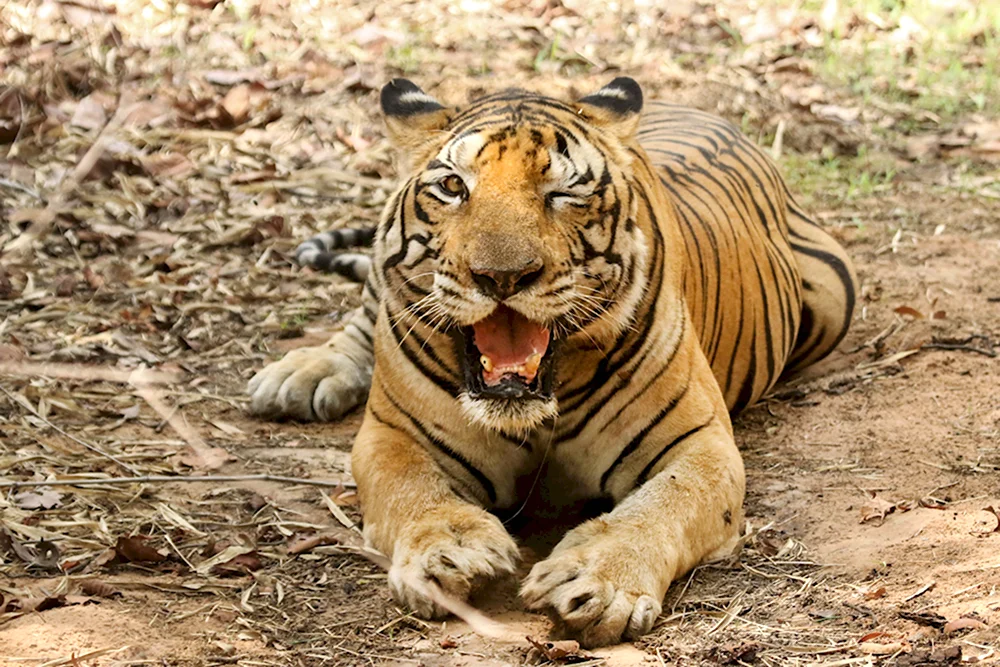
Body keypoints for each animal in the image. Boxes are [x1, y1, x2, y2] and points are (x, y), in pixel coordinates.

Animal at [248, 78, 856, 647]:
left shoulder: (701, 444)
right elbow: (414, 491)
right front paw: (451, 551)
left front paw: (595, 581)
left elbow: (662, 505)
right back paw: (298, 376)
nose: (501, 276)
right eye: (453, 186)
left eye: (562, 193)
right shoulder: (393, 435)